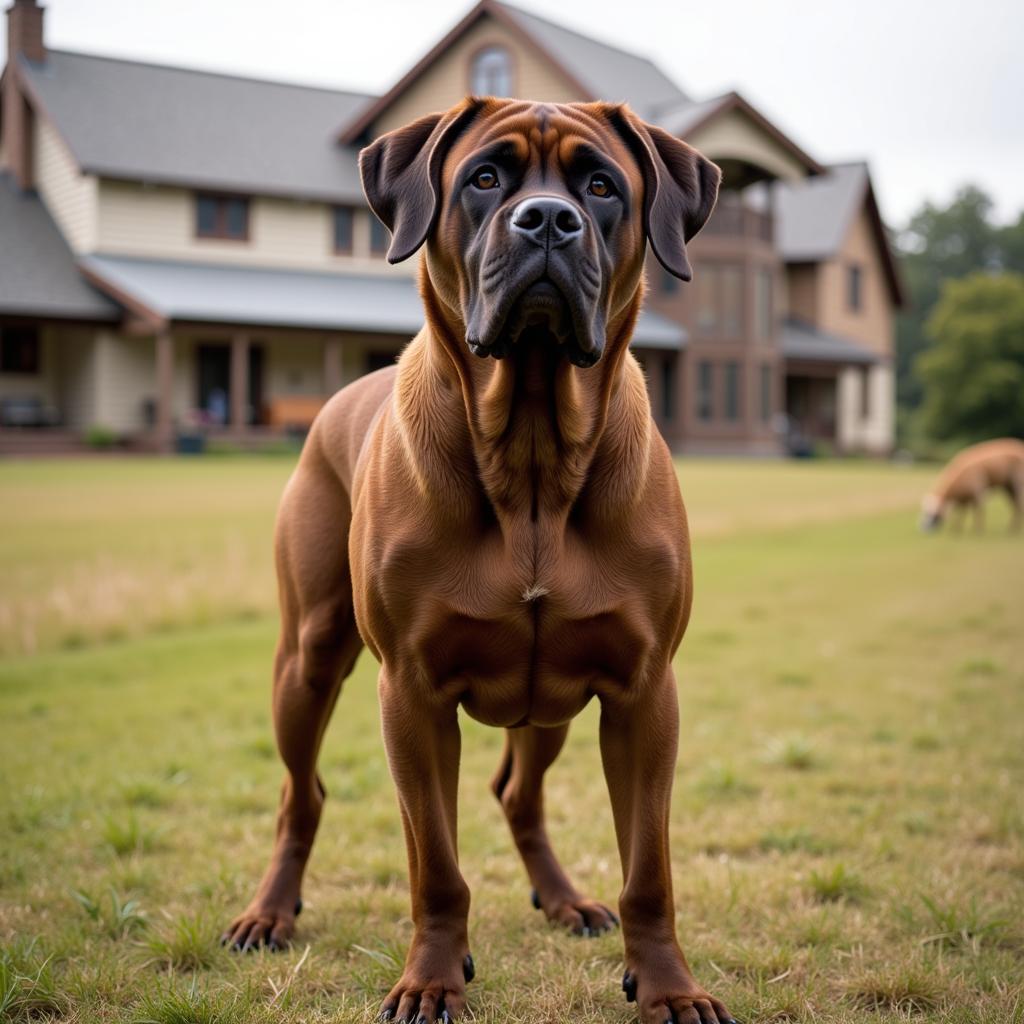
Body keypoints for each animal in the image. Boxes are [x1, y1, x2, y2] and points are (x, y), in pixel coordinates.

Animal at [224, 97, 737, 1024]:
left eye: (601, 187)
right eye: (485, 178)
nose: (547, 221)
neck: (532, 449)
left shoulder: (643, 692)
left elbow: (649, 870)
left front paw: (669, 987)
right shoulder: (412, 693)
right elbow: (436, 864)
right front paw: (432, 977)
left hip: (555, 702)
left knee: (519, 794)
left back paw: (564, 898)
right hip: (307, 656)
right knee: (300, 793)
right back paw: (269, 912)